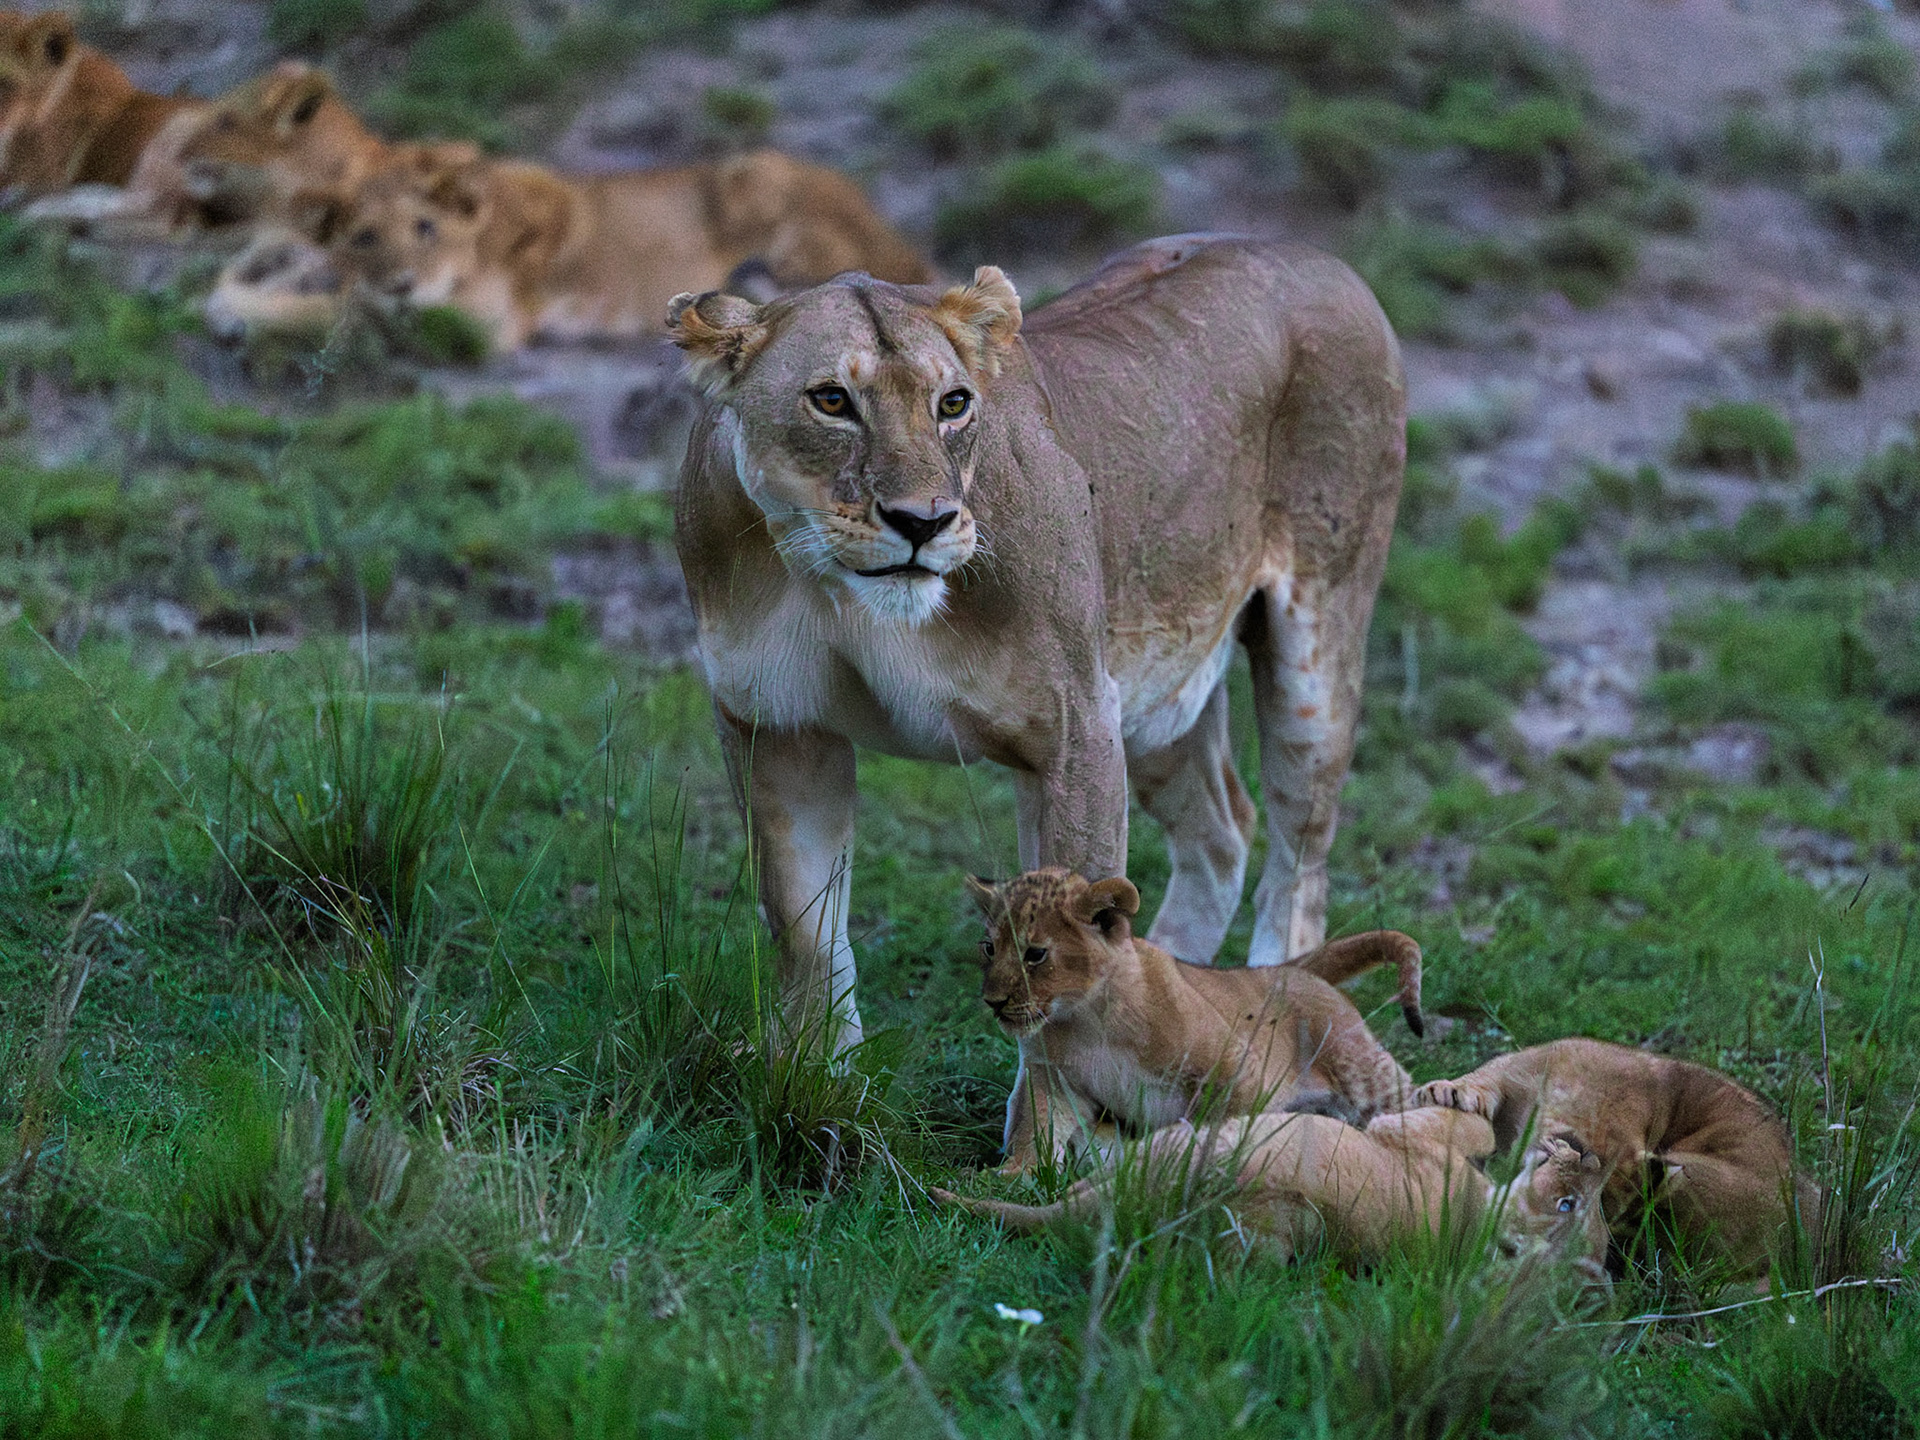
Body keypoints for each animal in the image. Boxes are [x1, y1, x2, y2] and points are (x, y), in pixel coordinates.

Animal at [669, 234, 1406, 1051]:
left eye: (953, 404)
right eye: (831, 400)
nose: (923, 521)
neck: (839, 589)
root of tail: (1310, 250)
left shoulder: (1076, 729)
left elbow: (1068, 963)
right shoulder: (780, 728)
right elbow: (806, 940)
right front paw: (819, 1078)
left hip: (1311, 655)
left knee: (1299, 862)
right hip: (1152, 692)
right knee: (1221, 834)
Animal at [964, 867, 1420, 1172]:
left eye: (1035, 954)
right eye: (989, 948)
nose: (992, 1002)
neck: (1088, 1019)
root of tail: (1287, 969)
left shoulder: (1237, 1071)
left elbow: (1222, 1126)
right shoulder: (1055, 1079)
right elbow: (1036, 1128)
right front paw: (1015, 1174)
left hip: (1358, 1071)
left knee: (1402, 1094)